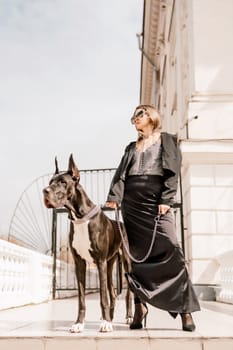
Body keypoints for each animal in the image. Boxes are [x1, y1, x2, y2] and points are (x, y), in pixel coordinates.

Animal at [42, 154, 132, 332]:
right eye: (50, 182)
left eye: (63, 182)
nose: (45, 191)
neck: (80, 217)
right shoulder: (80, 263)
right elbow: (82, 299)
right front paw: (79, 323)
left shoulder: (100, 261)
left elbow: (103, 297)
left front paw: (105, 323)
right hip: (110, 264)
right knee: (112, 292)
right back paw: (110, 318)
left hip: (125, 262)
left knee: (128, 293)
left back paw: (128, 317)